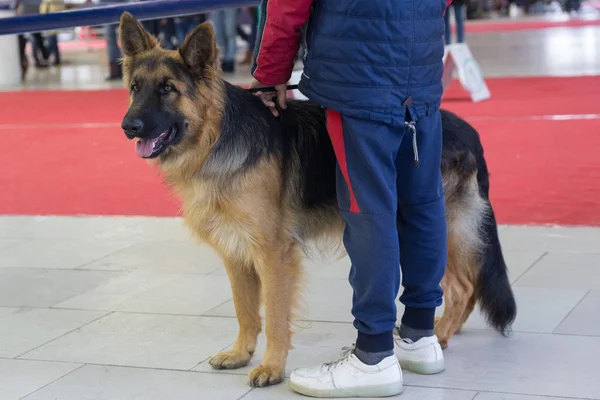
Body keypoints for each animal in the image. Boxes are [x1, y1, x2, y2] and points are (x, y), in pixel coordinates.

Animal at [119, 12, 516, 388]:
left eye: (168, 89)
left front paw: (271, 366)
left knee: (463, 287)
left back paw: (439, 336)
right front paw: (241, 353)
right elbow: (245, 310)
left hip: (436, 228)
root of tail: (470, 132)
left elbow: (275, 315)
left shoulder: (273, 254)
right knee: (467, 286)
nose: (128, 127)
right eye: (135, 88)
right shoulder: (236, 252)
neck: (216, 137)